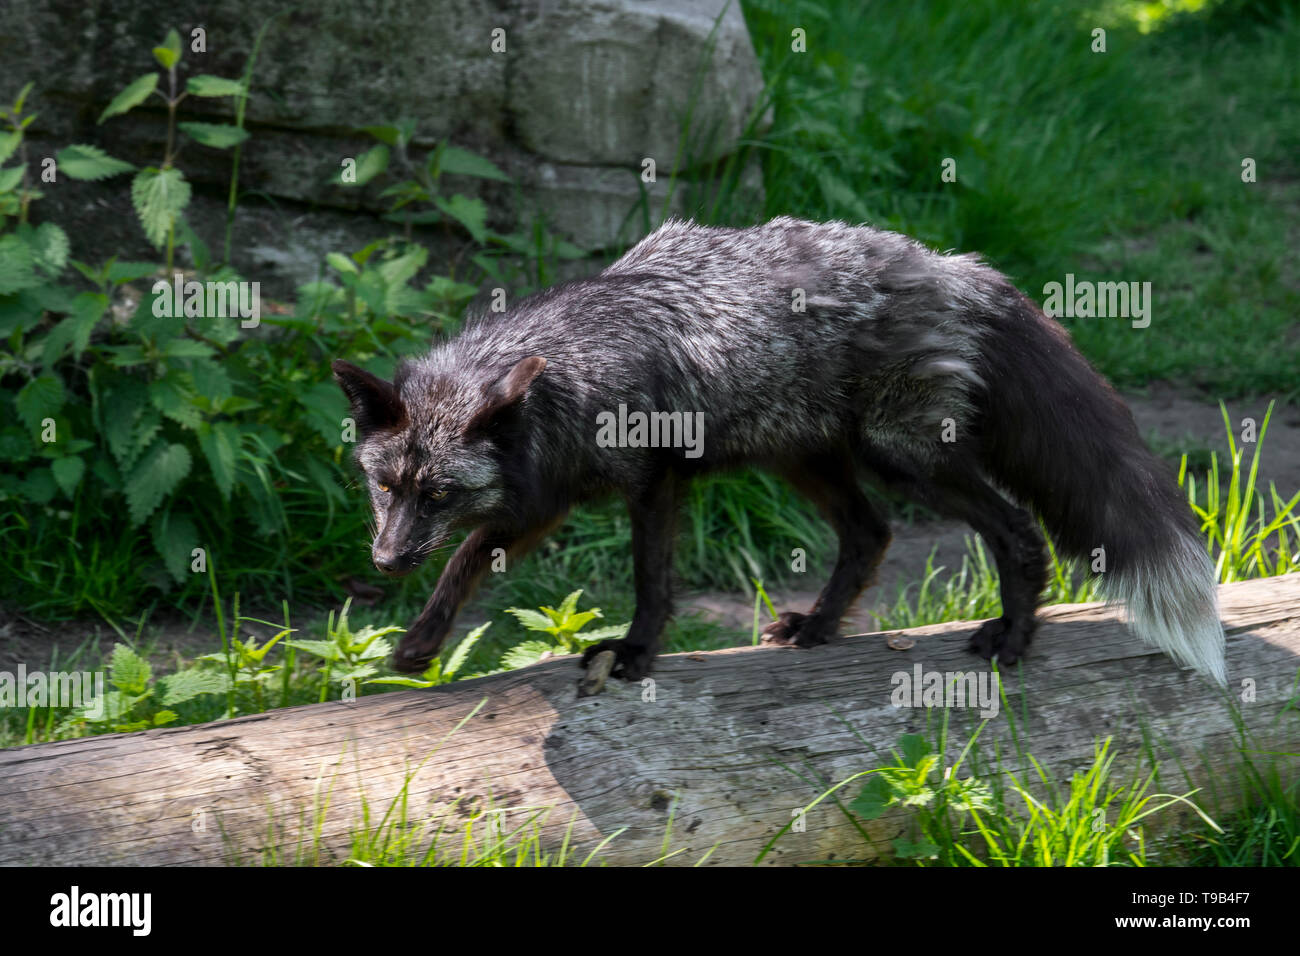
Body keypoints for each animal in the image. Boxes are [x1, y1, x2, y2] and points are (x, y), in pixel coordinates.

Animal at [330, 215, 1222, 686]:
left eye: (439, 494)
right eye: (385, 486)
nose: (383, 562)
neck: (573, 373)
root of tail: (955, 266)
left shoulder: (653, 480)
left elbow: (651, 582)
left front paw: (637, 653)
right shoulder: (540, 499)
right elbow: (463, 566)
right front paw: (417, 646)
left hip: (902, 457)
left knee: (1017, 532)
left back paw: (1013, 637)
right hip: (806, 460)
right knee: (871, 535)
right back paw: (820, 628)